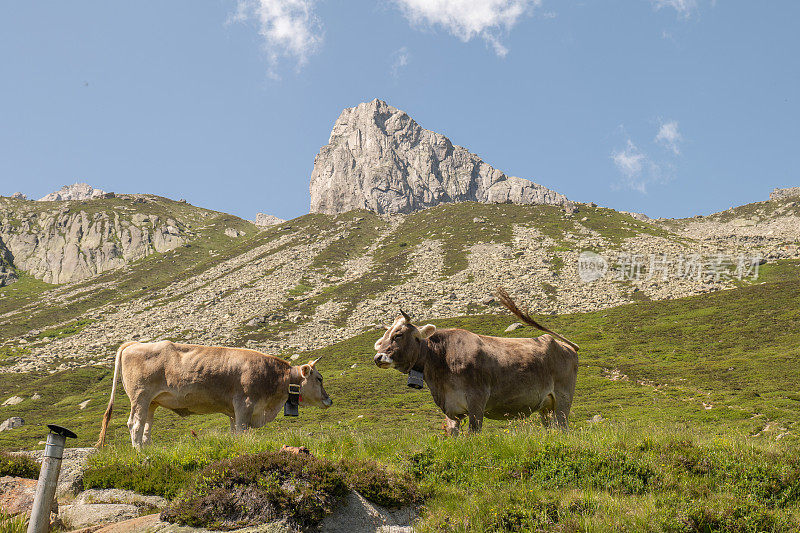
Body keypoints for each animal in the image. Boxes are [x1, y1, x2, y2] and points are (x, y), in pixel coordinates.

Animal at [96, 338, 332, 446]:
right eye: (319, 378)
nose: (329, 400)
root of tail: (134, 344)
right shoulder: (245, 405)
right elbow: (241, 432)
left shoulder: (234, 412)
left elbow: (234, 432)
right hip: (140, 396)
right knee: (134, 425)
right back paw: (139, 453)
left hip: (152, 402)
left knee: (146, 426)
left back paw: (147, 450)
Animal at [372, 288, 580, 434]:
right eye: (383, 337)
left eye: (398, 335)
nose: (378, 357)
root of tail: (566, 345)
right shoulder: (451, 409)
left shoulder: (477, 400)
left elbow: (474, 433)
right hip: (546, 407)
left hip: (563, 399)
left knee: (563, 428)